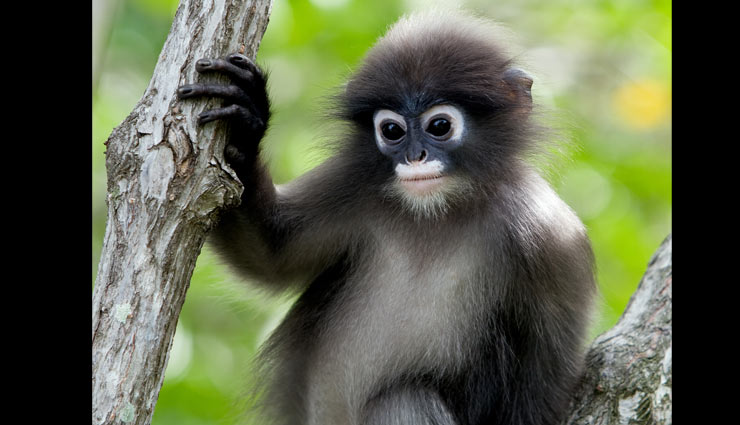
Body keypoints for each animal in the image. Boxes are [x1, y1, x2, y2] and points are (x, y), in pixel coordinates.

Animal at [177, 10, 596, 425]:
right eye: (392, 130)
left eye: (440, 126)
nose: (414, 157)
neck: (435, 213)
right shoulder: (352, 183)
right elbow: (270, 254)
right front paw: (246, 123)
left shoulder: (551, 238)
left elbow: (543, 381)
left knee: (403, 400)